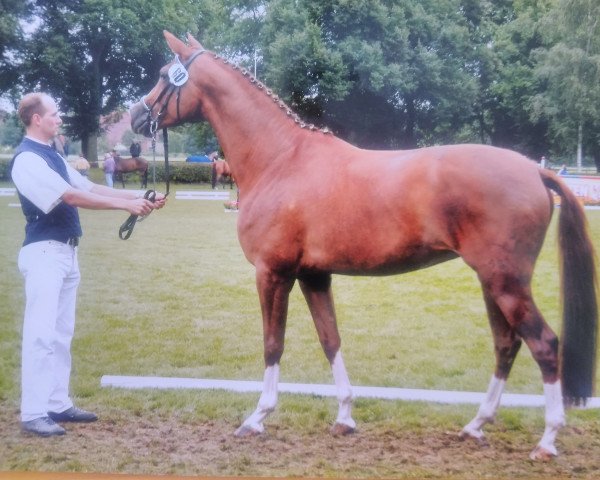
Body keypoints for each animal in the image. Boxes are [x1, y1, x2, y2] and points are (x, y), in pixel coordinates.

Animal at [129, 31, 596, 462]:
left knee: (544, 344)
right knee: (506, 344)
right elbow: (330, 339)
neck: (280, 159)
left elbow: (273, 343)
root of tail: (534, 171)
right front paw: (344, 417)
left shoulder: (272, 273)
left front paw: (257, 418)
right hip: (492, 281)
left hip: (505, 283)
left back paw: (547, 441)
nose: (135, 117)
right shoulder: (314, 276)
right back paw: (476, 425)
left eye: (163, 75)